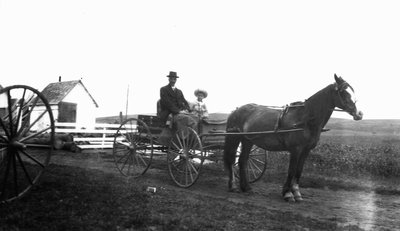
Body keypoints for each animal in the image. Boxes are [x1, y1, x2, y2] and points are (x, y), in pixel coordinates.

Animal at [223, 74, 364, 202]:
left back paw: (246, 188)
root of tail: (236, 110)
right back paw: (233, 186)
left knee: (243, 160)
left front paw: (296, 192)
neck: (305, 119)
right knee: (232, 160)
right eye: (343, 92)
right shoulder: (295, 149)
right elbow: (291, 170)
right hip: (234, 138)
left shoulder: (306, 150)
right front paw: (287, 193)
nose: (359, 114)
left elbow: (298, 171)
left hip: (248, 140)